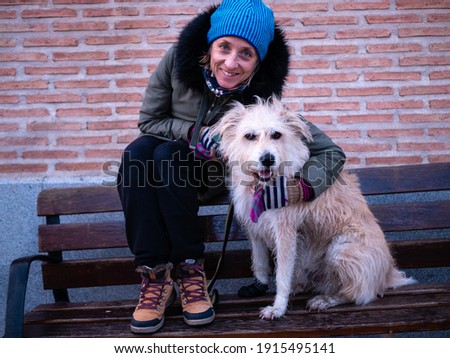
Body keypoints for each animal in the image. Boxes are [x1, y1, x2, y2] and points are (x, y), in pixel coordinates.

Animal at [214, 97, 414, 318]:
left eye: (276, 134)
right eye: (249, 136)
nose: (267, 159)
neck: (264, 185)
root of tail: (387, 276)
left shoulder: (285, 232)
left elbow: (282, 274)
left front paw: (278, 307)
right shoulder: (254, 228)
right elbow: (259, 262)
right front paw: (260, 285)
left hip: (342, 249)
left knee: (357, 294)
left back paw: (325, 300)